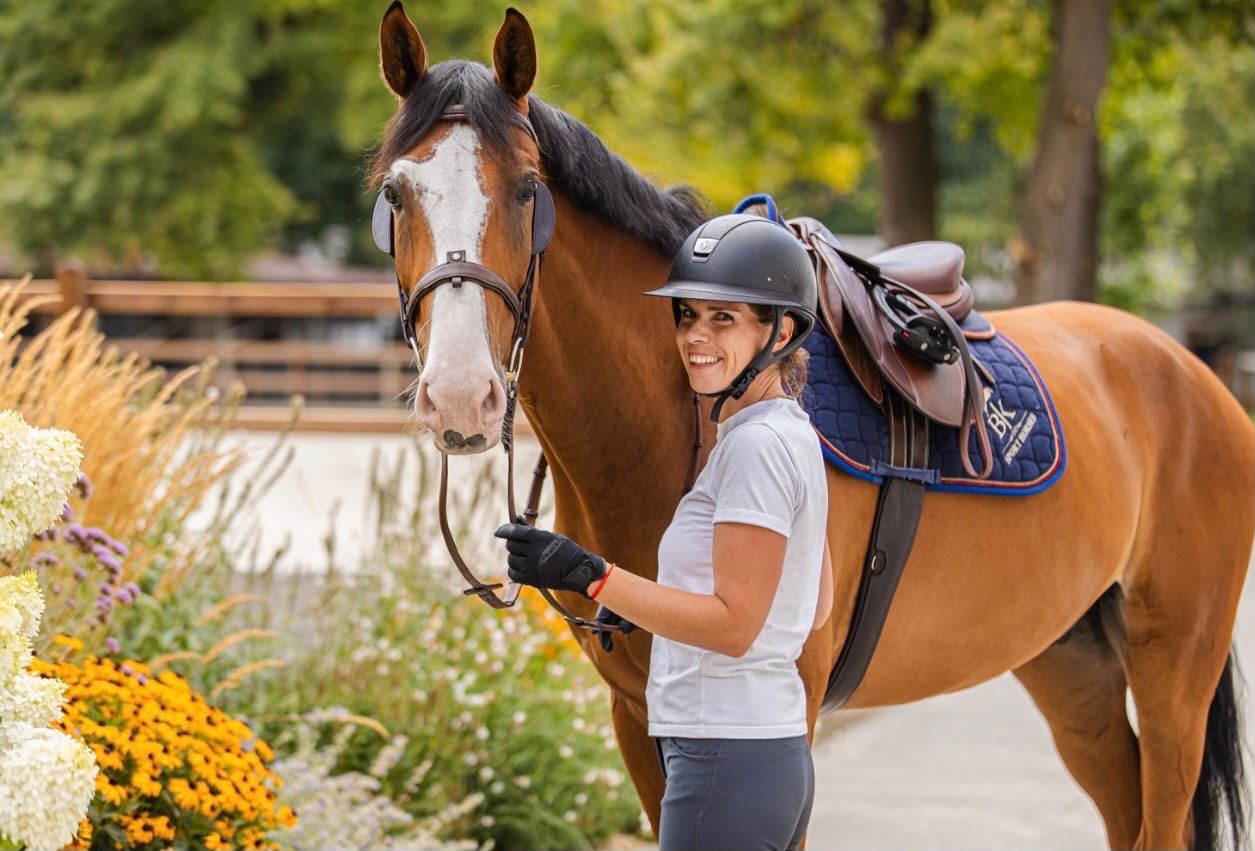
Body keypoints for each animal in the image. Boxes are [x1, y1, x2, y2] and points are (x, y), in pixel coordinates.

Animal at [368, 4, 1253, 848]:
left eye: (526, 188)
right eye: (394, 195)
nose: (459, 395)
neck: (678, 422)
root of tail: (1188, 370)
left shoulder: (783, 712)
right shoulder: (638, 713)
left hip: (1174, 672)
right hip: (1073, 669)